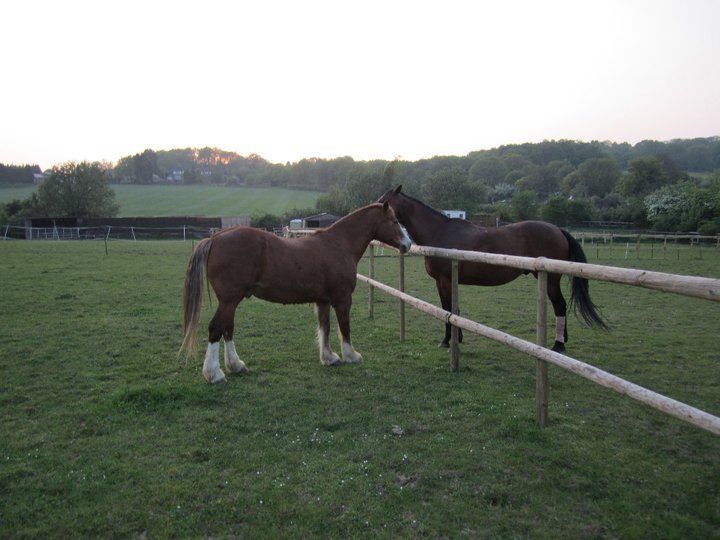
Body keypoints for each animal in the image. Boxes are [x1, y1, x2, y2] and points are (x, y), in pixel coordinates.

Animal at [180, 201, 412, 384]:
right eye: (394, 221)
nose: (408, 244)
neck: (339, 244)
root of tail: (215, 239)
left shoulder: (323, 300)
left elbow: (325, 327)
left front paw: (329, 358)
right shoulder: (342, 299)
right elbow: (344, 327)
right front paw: (351, 355)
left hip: (230, 301)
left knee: (227, 329)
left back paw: (235, 366)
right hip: (229, 300)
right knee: (216, 328)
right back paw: (214, 374)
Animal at [378, 185, 606, 351]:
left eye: (384, 203)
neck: (439, 232)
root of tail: (558, 229)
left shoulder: (445, 280)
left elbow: (448, 309)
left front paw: (447, 340)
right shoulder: (444, 282)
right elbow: (451, 308)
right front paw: (456, 338)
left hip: (550, 279)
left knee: (559, 305)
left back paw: (558, 345)